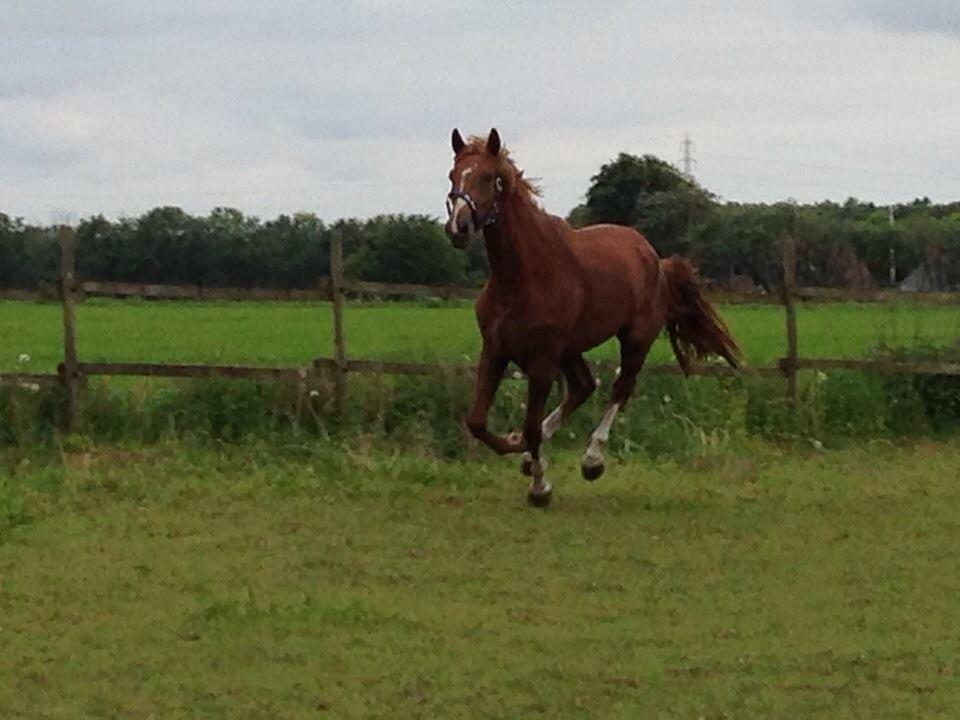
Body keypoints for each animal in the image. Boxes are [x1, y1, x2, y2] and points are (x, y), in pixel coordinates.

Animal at [446, 128, 740, 506]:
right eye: (452, 175)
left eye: (488, 177)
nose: (458, 227)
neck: (523, 274)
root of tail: (656, 260)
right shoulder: (495, 350)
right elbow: (478, 422)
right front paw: (518, 449)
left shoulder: (542, 360)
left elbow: (530, 426)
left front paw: (540, 487)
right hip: (571, 349)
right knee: (584, 386)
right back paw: (531, 456)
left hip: (635, 339)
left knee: (619, 388)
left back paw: (592, 460)